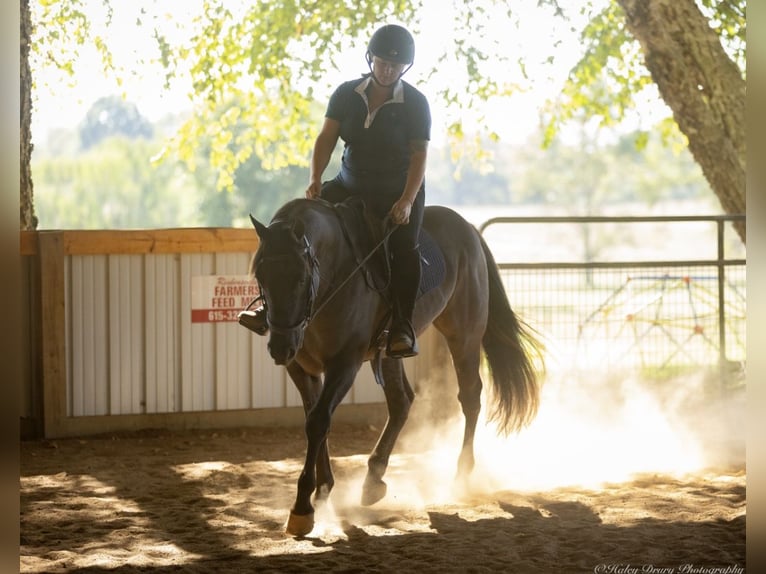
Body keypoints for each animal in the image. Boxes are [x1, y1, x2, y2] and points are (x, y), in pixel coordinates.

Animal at [247, 197, 544, 536]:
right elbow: (313, 420)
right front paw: (323, 490)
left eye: (300, 277)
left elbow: (319, 421)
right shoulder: (301, 367)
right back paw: (373, 479)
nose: (280, 347)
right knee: (402, 402)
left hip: (464, 334)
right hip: (390, 353)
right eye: (261, 277)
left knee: (469, 398)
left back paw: (461, 475)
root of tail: (467, 227)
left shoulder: (345, 364)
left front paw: (303, 507)